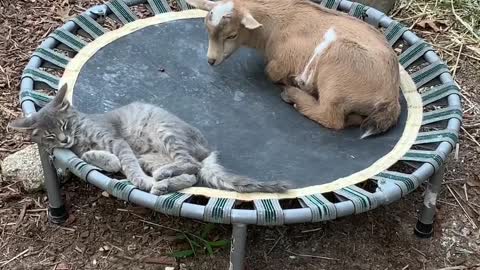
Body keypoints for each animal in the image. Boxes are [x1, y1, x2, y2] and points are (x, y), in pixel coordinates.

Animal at [9, 84, 290, 194]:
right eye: (50, 135)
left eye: (64, 125)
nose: (64, 139)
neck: (79, 135)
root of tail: (207, 149)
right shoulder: (88, 150)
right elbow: (95, 157)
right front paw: (104, 160)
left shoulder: (116, 140)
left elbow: (128, 166)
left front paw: (136, 179)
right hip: (150, 157)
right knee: (191, 176)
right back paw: (162, 184)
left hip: (166, 133)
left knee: (191, 165)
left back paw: (160, 179)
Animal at [187, 0, 402, 137]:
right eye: (207, 30)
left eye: (232, 35)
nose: (211, 60)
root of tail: (391, 98)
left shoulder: (284, 58)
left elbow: (270, 71)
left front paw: (289, 80)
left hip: (338, 68)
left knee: (331, 118)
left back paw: (293, 94)